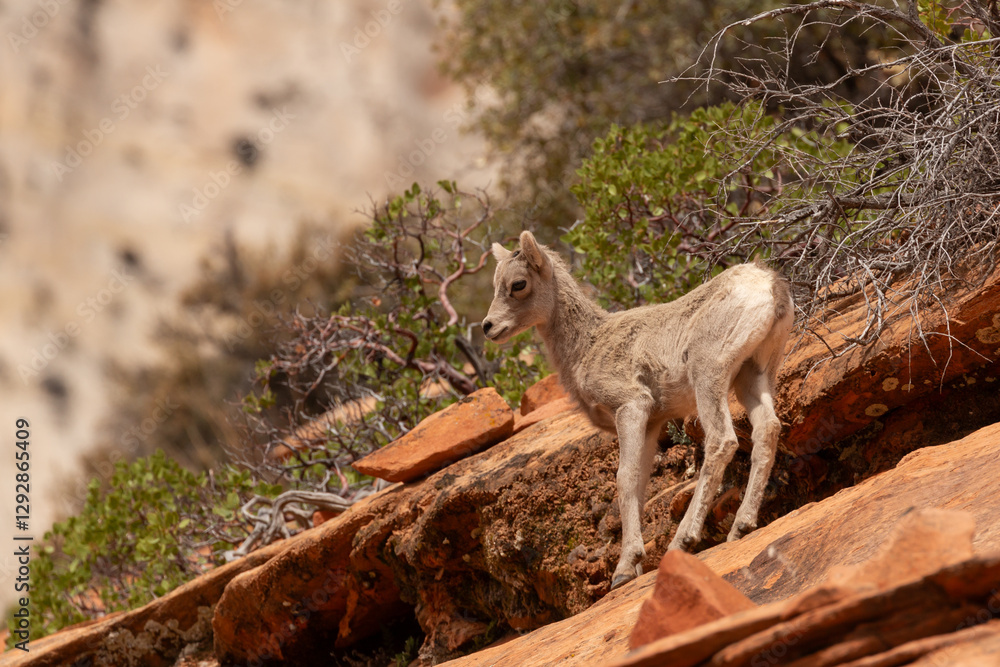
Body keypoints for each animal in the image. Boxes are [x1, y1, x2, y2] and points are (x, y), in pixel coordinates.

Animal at [482, 231, 793, 590]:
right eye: (495, 282)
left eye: (518, 284)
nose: (488, 326)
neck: (587, 346)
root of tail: (769, 285)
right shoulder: (652, 422)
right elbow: (641, 483)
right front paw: (636, 566)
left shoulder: (631, 407)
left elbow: (625, 478)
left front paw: (624, 569)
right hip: (753, 374)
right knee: (767, 429)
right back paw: (741, 527)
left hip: (708, 374)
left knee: (721, 441)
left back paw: (682, 541)